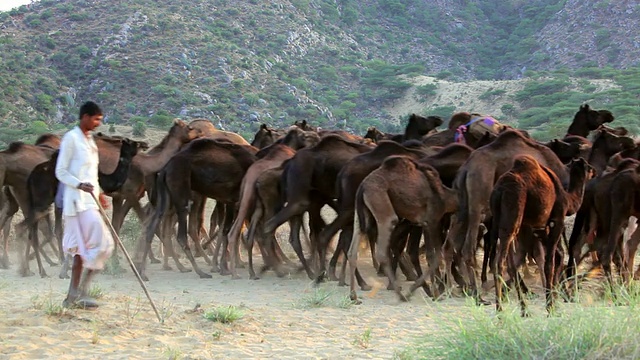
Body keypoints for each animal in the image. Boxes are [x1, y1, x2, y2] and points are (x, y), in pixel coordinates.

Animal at [344, 156, 460, 302]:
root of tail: (362, 187)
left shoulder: (425, 224)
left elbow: (431, 255)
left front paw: (435, 293)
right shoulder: (432, 220)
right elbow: (437, 256)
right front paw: (427, 292)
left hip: (360, 214)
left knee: (352, 251)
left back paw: (353, 296)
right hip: (382, 205)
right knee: (383, 251)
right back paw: (401, 295)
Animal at [490, 155, 596, 316]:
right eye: (588, 166)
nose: (594, 171)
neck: (568, 199)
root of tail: (500, 189)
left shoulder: (538, 228)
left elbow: (558, 256)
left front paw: (556, 300)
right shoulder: (557, 220)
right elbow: (550, 262)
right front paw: (550, 306)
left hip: (500, 220)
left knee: (510, 263)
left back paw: (524, 309)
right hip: (513, 212)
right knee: (500, 262)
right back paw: (501, 312)